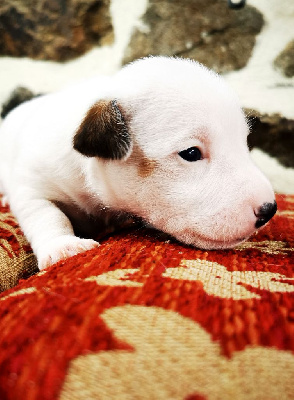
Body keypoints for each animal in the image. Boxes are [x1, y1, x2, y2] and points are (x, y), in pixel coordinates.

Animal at [0, 56, 276, 270]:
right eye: (190, 153)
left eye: (243, 142)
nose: (270, 210)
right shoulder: (32, 185)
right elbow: (46, 213)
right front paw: (64, 246)